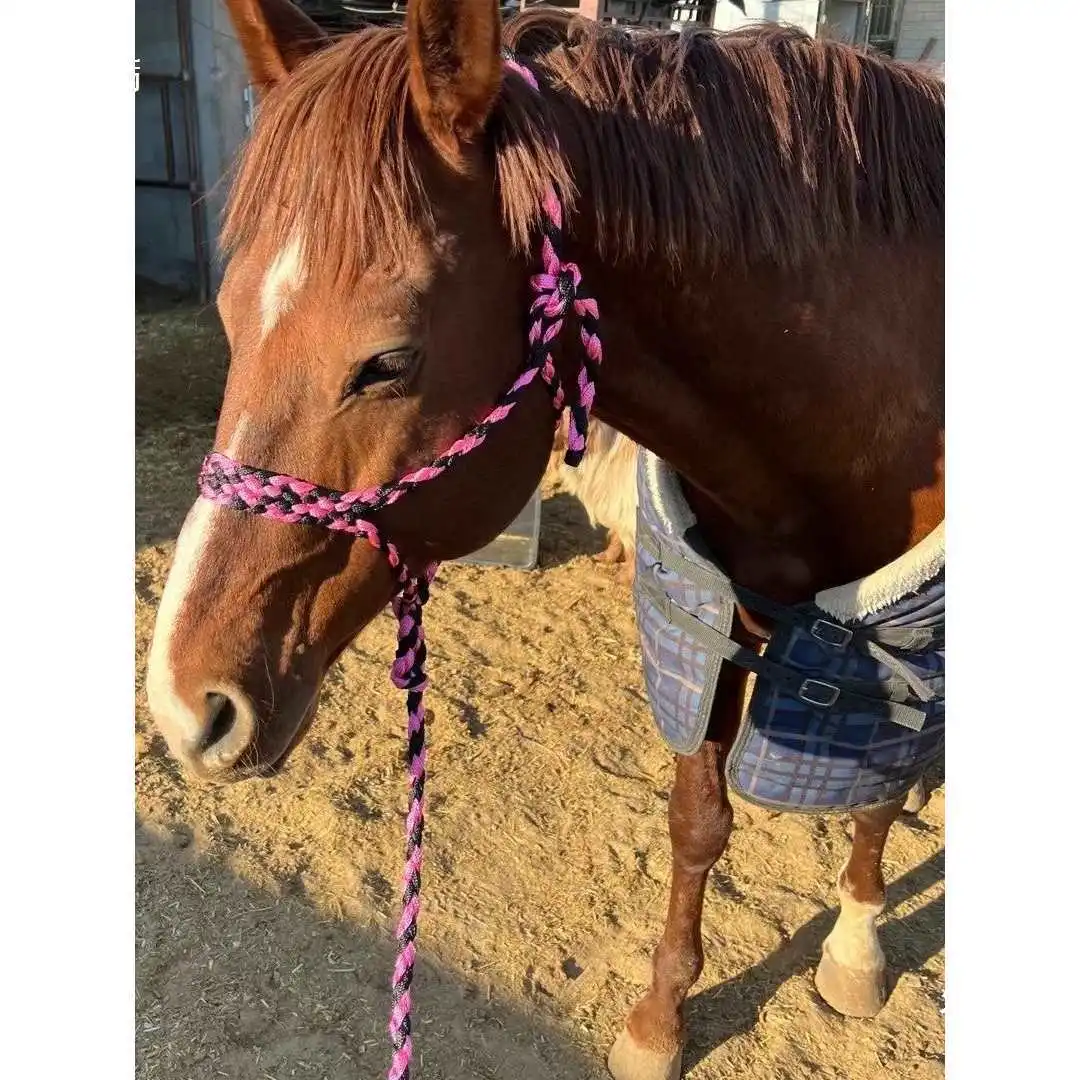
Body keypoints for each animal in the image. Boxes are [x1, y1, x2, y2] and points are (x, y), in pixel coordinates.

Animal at [145, 3, 944, 1078]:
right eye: (230, 320)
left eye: (387, 361)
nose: (185, 705)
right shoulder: (710, 614)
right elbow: (698, 821)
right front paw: (659, 1021)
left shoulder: (901, 645)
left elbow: (876, 799)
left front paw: (855, 951)